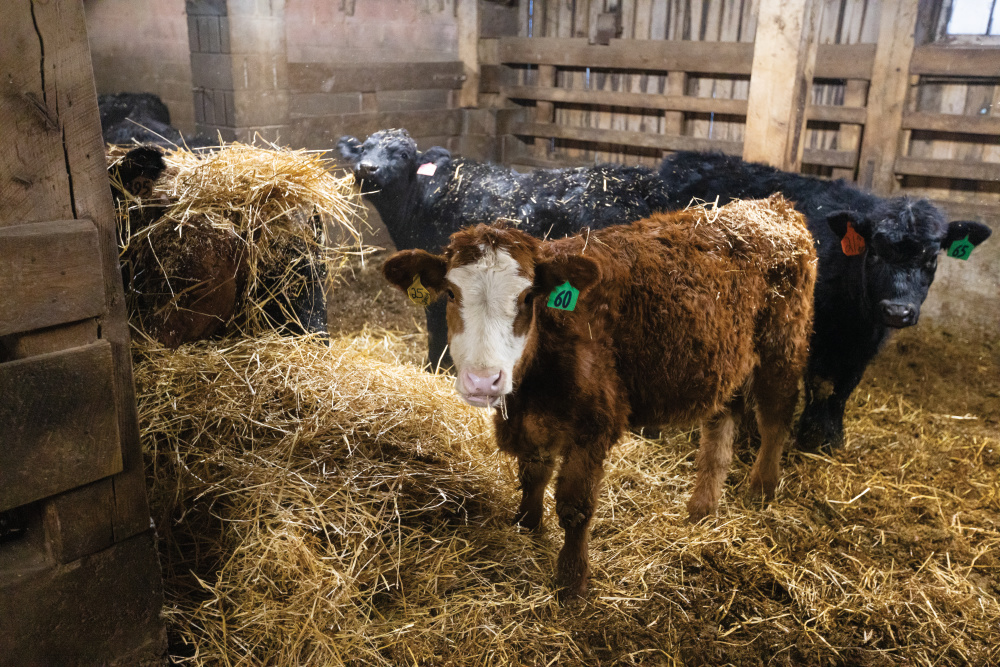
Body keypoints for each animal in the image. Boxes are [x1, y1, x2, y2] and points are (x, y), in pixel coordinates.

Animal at [382, 195, 817, 598]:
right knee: (721, 426)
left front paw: (571, 581)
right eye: (451, 294)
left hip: (783, 345)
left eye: (527, 297)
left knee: (776, 416)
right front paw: (526, 526)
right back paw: (702, 509)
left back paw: (761, 489)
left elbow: (575, 507)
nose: (483, 380)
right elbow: (532, 474)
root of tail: (771, 207)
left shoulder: (593, 424)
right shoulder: (531, 421)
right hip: (725, 359)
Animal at [659, 151, 992, 451]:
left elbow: (843, 388)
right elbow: (819, 384)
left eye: (931, 259)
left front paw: (834, 438)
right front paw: (810, 436)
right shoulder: (813, 335)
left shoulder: (865, 346)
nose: (898, 311)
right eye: (874, 252)